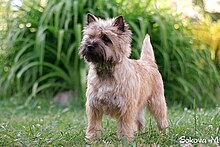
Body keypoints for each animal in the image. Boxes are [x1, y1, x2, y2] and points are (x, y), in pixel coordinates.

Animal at [79, 13, 168, 142]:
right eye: (90, 36)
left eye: (106, 38)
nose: (89, 45)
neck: (106, 72)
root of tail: (149, 63)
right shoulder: (94, 107)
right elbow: (93, 125)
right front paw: (92, 139)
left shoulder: (126, 108)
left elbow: (125, 125)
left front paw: (124, 140)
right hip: (139, 108)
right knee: (140, 121)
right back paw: (139, 135)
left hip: (157, 102)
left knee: (162, 120)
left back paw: (164, 135)